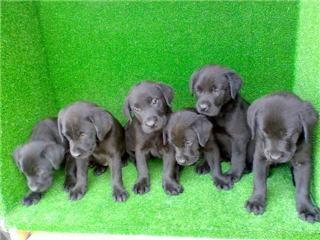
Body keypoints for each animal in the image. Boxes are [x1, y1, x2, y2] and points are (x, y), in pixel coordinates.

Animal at [245, 92, 318, 223]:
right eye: (264, 132)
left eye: (287, 134)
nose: (274, 156)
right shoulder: (260, 156)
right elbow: (259, 181)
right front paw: (256, 201)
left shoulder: (303, 161)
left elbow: (303, 188)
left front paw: (307, 209)